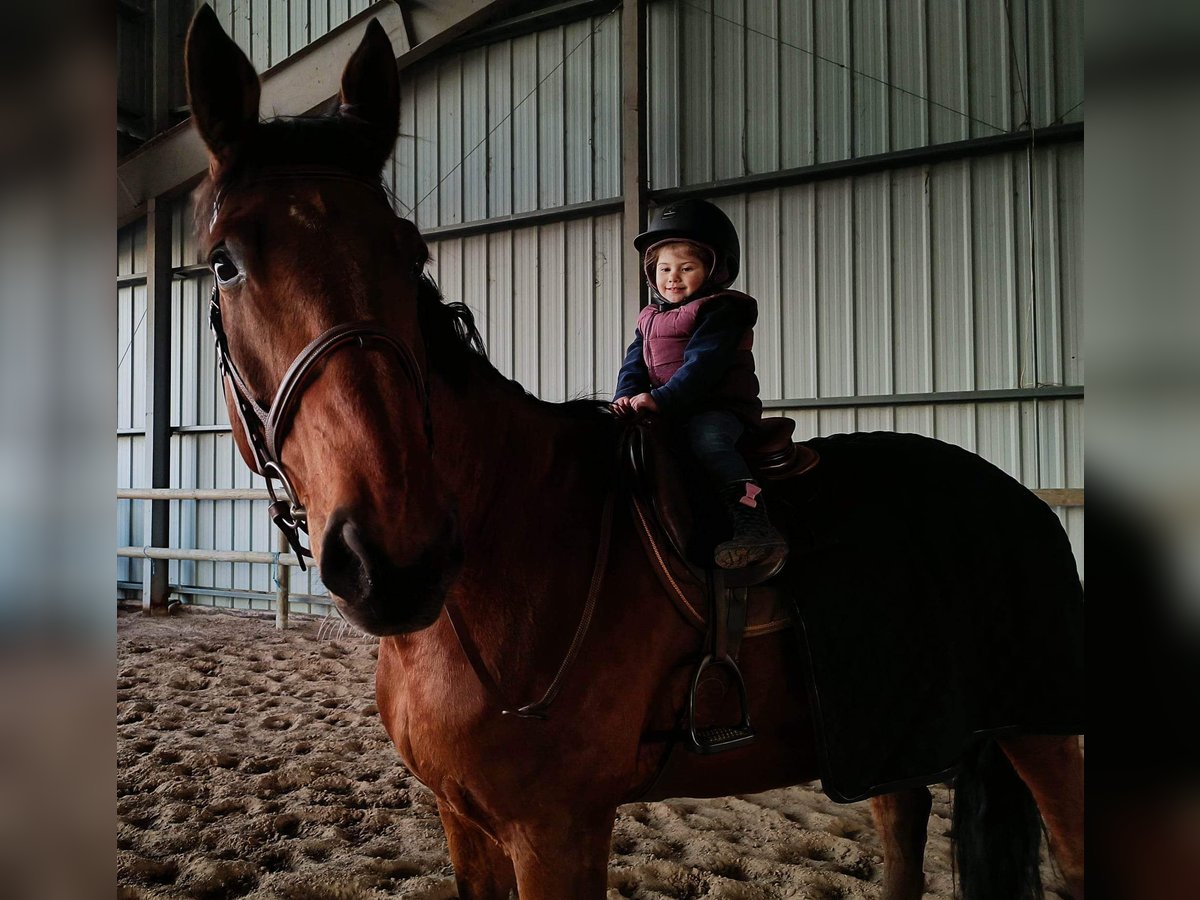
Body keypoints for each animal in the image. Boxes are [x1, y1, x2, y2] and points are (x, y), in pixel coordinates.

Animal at [182, 8, 1084, 900]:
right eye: (223, 262)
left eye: (412, 254)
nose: (398, 559)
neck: (512, 553)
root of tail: (1020, 501)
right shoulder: (463, 820)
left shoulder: (557, 830)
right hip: (895, 728)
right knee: (901, 825)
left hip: (1040, 731)